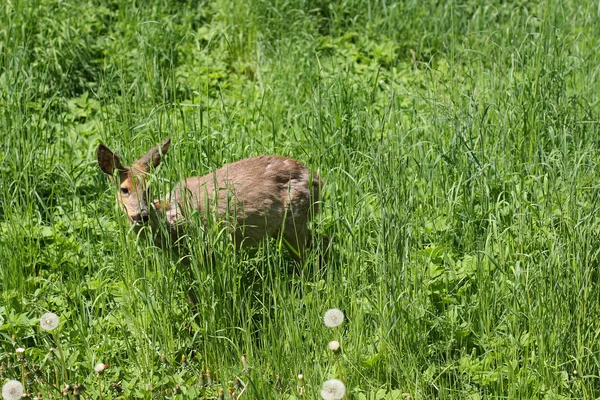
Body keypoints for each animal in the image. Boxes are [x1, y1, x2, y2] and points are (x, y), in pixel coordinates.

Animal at [98, 136, 326, 264]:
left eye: (149, 187)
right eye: (124, 189)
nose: (141, 215)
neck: (169, 217)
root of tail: (317, 179)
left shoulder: (204, 248)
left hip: (293, 220)